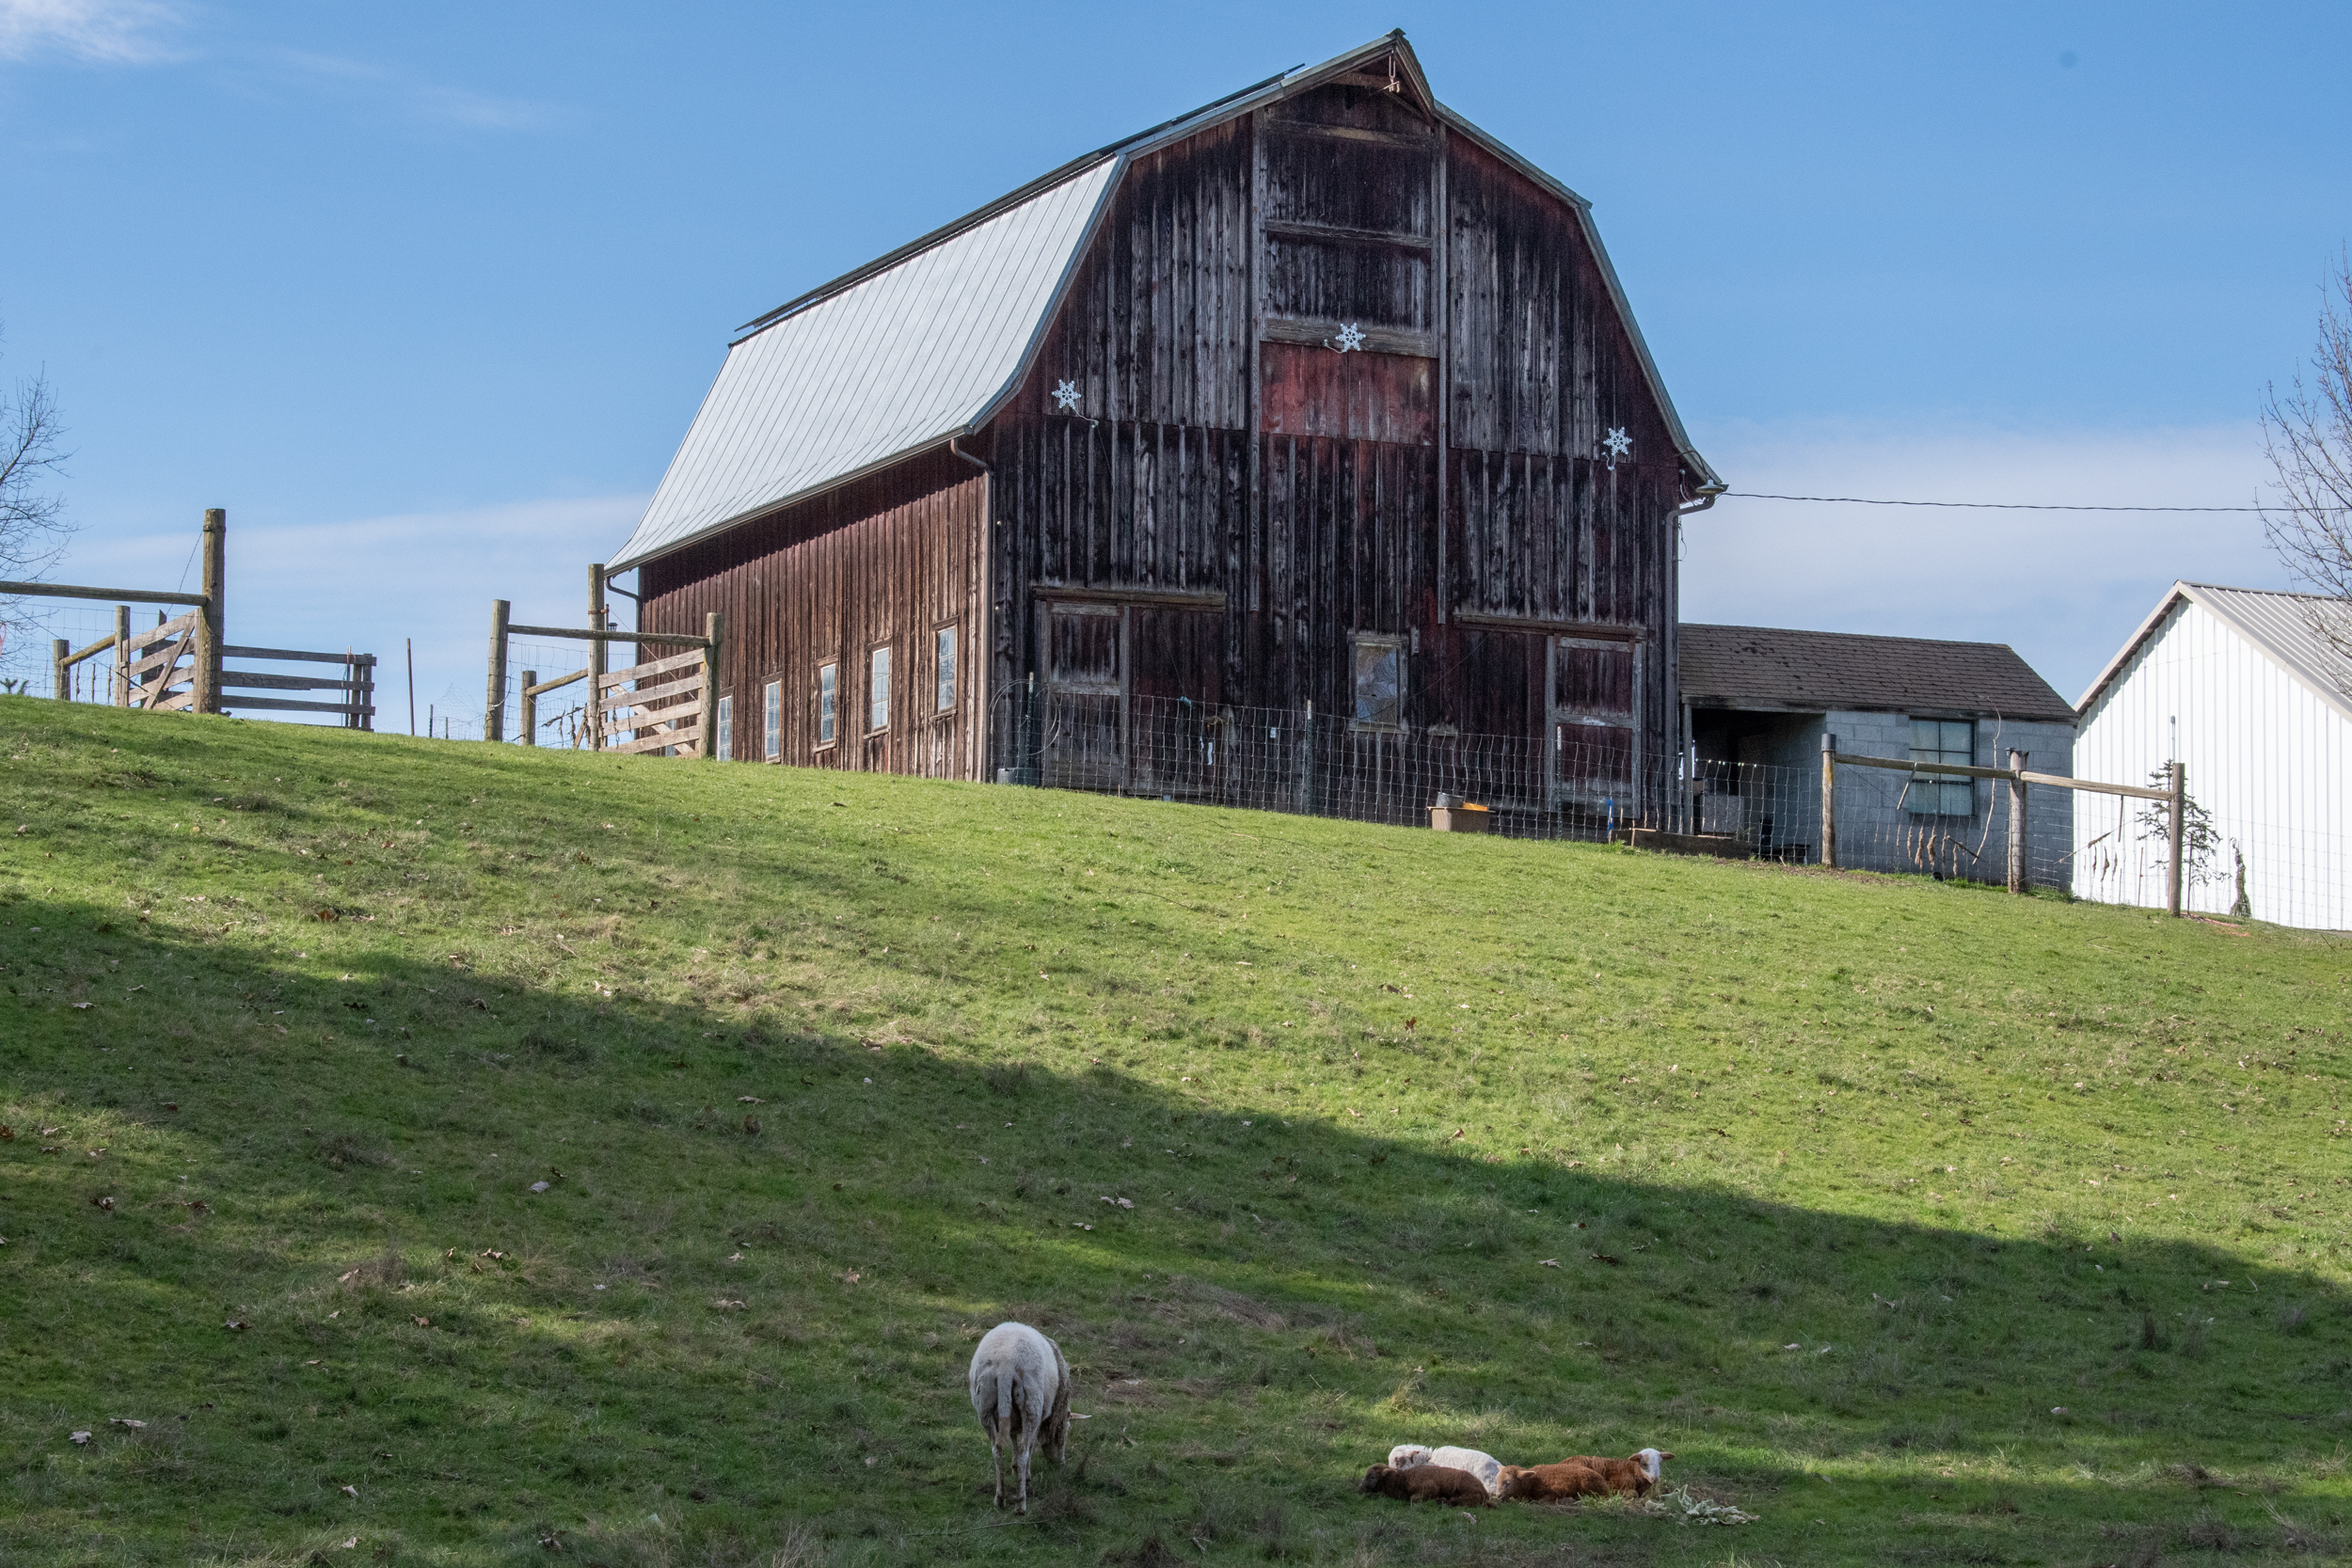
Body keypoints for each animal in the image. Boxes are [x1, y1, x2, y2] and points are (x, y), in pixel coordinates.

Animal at [960, 1316, 1073, 1513]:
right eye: (1066, 1430)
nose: (1060, 1464)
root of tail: (1006, 1365)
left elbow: (1012, 1438)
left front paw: (1013, 1468)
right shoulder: (1041, 1415)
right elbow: (1029, 1445)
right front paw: (1025, 1474)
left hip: (985, 1405)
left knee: (997, 1450)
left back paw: (1000, 1498)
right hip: (1031, 1404)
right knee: (1023, 1451)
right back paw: (1021, 1503)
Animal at [1364, 1457, 1486, 1504]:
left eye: (1372, 1477)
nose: (1362, 1489)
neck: (1405, 1478)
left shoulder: (1431, 1487)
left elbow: (1413, 1498)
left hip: (1465, 1486)